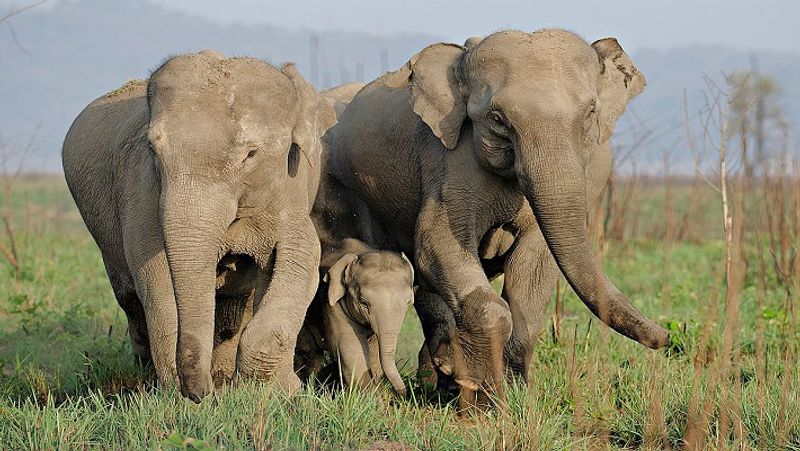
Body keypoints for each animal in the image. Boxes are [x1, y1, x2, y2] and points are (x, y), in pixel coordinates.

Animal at [62, 50, 334, 402]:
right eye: (153, 149)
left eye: (250, 155)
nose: (202, 393)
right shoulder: (142, 190)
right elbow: (156, 278)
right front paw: (176, 393)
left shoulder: (292, 191)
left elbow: (301, 261)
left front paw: (279, 391)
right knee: (131, 299)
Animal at [296, 238, 416, 398]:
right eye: (364, 303)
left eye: (408, 303)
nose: (403, 392)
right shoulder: (332, 305)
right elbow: (352, 352)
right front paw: (373, 399)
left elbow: (373, 354)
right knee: (307, 353)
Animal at [324, 31, 668, 406]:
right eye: (498, 118)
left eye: (590, 112)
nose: (664, 337)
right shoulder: (449, 159)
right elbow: (435, 244)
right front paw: (484, 398)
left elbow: (534, 268)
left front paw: (516, 393)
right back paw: (445, 375)